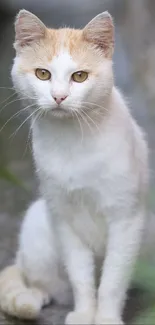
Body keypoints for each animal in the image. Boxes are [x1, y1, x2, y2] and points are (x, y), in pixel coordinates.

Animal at [0, 8, 148, 322]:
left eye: (79, 76)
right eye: (43, 74)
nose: (59, 96)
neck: (73, 142)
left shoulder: (126, 219)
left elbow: (113, 279)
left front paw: (105, 317)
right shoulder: (64, 219)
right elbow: (81, 277)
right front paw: (84, 314)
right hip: (38, 228)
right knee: (39, 280)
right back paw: (34, 297)